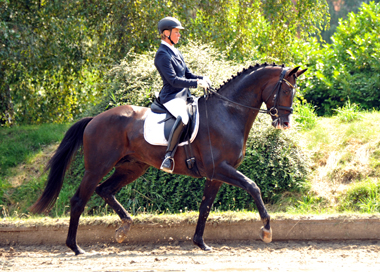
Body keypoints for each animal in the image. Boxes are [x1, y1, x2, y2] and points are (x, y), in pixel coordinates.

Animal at [31, 63, 308, 255]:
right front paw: (267, 230)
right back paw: (75, 247)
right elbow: (253, 186)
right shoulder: (221, 168)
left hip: (132, 167)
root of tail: (94, 119)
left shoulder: (215, 175)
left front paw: (200, 243)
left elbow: (205, 207)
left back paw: (124, 227)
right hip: (97, 167)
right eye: (285, 89)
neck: (227, 112)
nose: (285, 122)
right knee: (79, 200)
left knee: (105, 190)